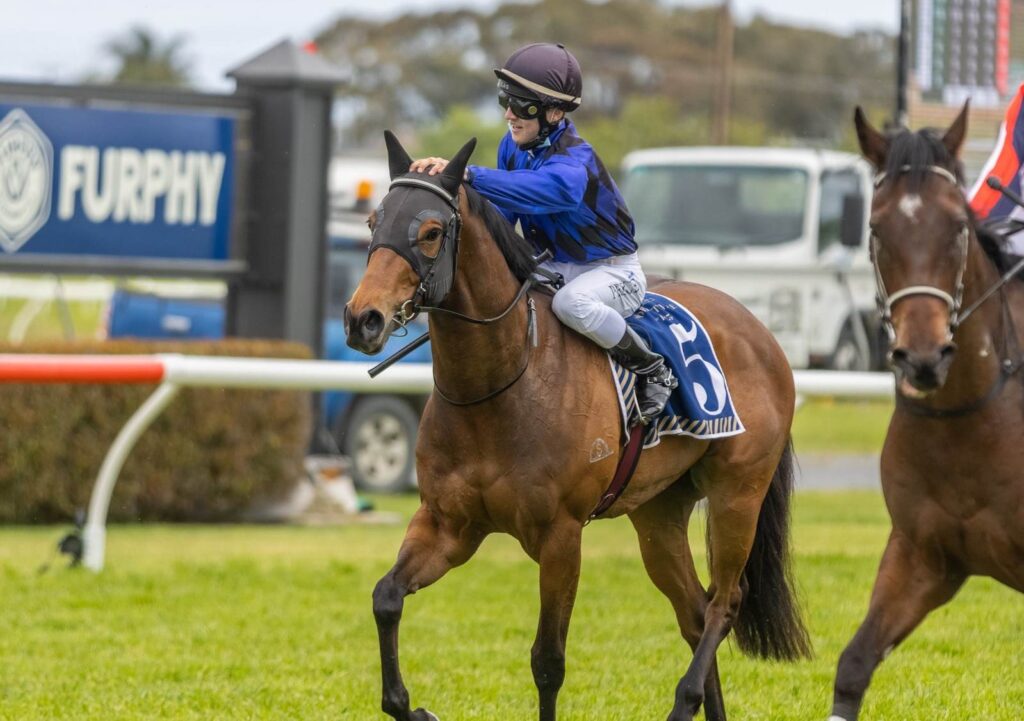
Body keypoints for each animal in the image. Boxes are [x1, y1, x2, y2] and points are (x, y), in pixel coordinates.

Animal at [345, 131, 811, 721]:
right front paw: (415, 707)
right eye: (373, 222)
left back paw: (683, 700)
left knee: (725, 603)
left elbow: (548, 660)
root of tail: (762, 334)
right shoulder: (449, 525)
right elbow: (385, 599)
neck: (499, 387)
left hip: (738, 493)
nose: (362, 319)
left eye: (429, 232)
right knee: (696, 612)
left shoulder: (561, 536)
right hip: (658, 515)